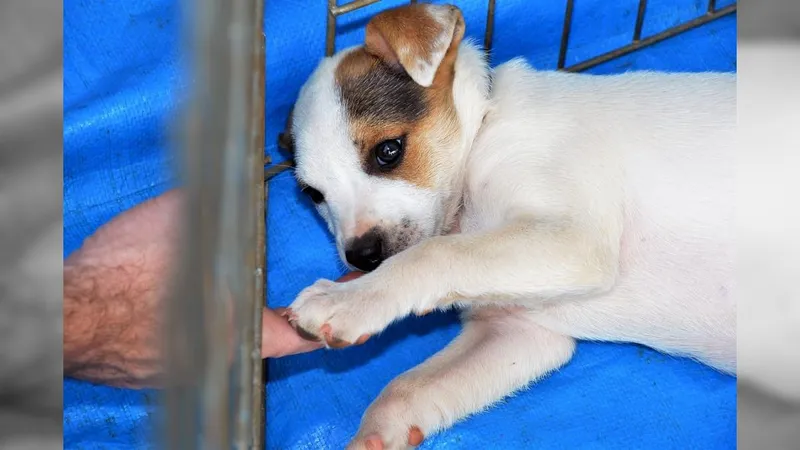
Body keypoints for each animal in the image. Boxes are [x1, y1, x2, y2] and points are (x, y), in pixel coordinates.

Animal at [284, 4, 736, 450]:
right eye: (312, 194)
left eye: (388, 151)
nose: (362, 256)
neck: (485, 127)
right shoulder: (517, 331)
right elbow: (404, 389)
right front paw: (372, 437)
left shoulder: (576, 241)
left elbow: (433, 253)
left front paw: (348, 299)